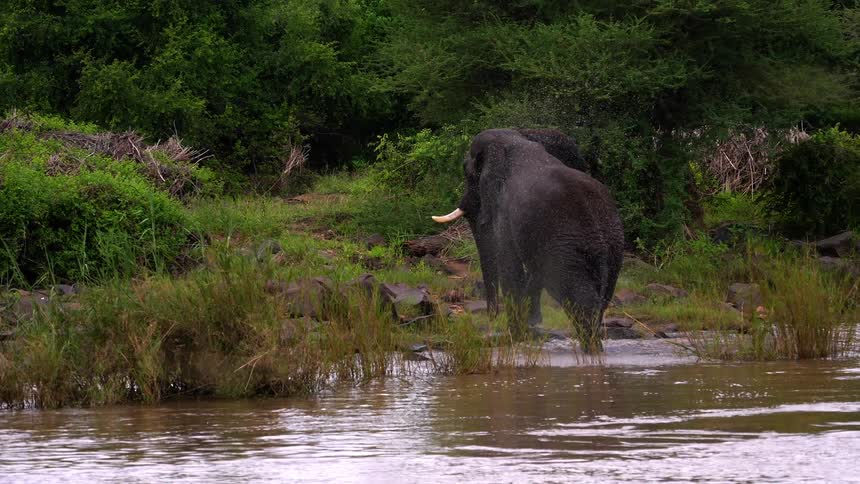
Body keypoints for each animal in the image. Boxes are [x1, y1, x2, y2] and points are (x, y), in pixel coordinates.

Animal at [432, 128, 623, 350]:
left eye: (467, 172)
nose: (491, 318)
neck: (518, 137)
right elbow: (532, 271)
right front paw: (529, 324)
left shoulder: (505, 210)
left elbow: (510, 268)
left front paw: (516, 337)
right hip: (612, 245)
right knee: (601, 299)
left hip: (568, 248)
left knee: (581, 302)